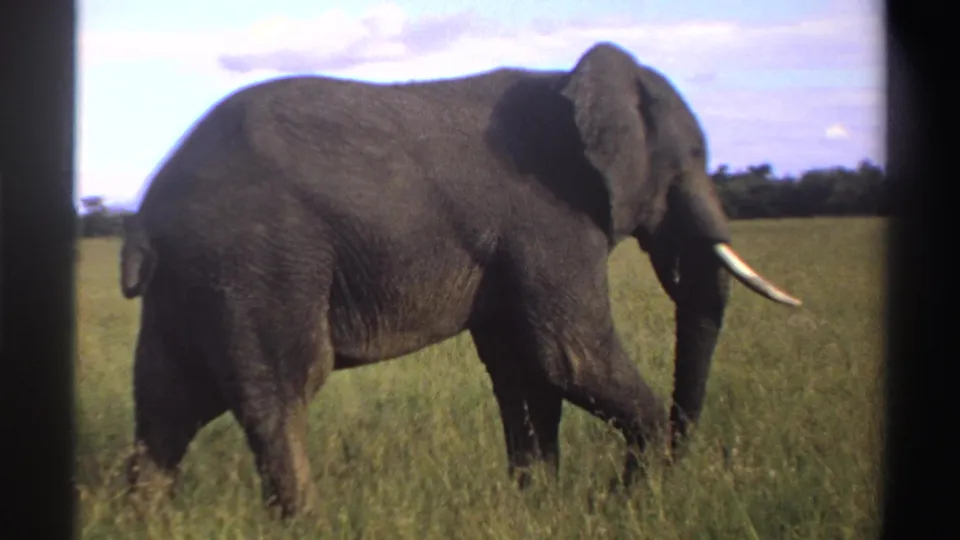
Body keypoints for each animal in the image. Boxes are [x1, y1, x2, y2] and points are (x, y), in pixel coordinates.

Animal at [119, 41, 801, 518]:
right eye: (693, 159)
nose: (613, 496)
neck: (572, 79)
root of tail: (149, 209)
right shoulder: (546, 221)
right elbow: (570, 360)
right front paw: (620, 506)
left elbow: (524, 372)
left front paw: (539, 507)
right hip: (259, 263)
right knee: (279, 394)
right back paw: (307, 522)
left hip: (193, 280)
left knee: (165, 405)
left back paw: (147, 521)